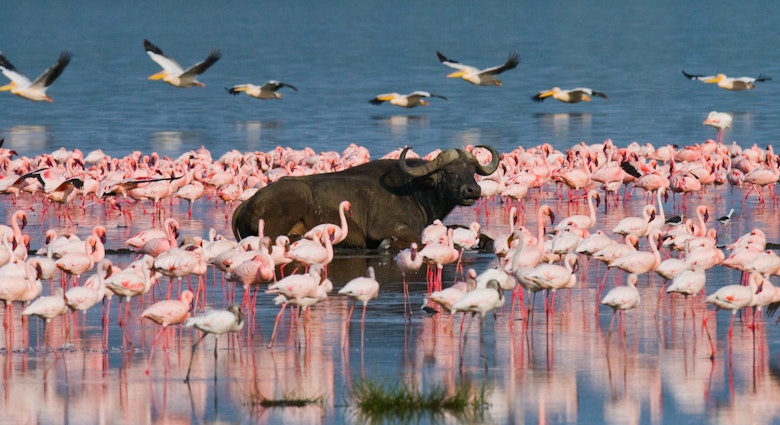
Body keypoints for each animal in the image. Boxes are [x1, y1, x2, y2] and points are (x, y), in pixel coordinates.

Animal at [231, 145, 499, 249]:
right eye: (451, 172)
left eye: (472, 171)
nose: (473, 191)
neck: (415, 191)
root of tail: (246, 204)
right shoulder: (387, 228)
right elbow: (417, 238)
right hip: (296, 196)